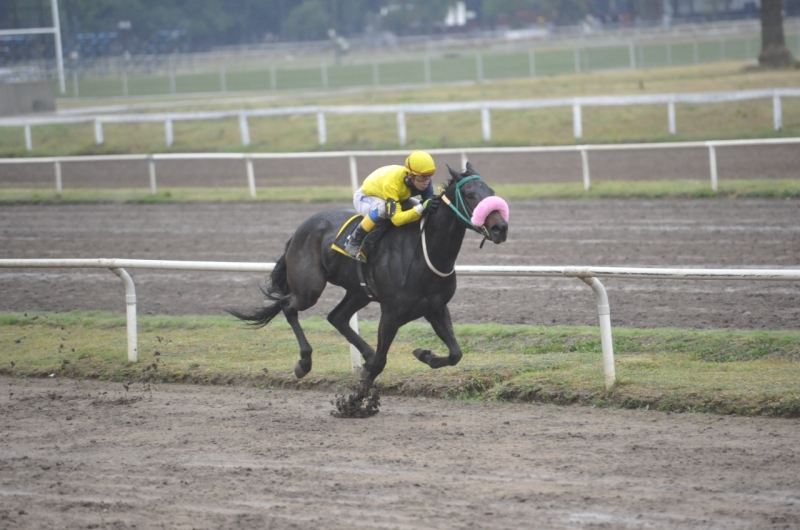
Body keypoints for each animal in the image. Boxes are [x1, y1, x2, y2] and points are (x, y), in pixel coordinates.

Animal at [230, 163, 506, 410]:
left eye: (491, 191)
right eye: (470, 195)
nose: (500, 227)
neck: (424, 251)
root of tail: (299, 230)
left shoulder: (435, 308)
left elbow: (455, 354)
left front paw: (423, 354)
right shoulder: (391, 313)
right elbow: (381, 363)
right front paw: (354, 402)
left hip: (358, 292)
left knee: (337, 317)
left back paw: (363, 355)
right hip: (310, 287)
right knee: (288, 306)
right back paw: (304, 363)